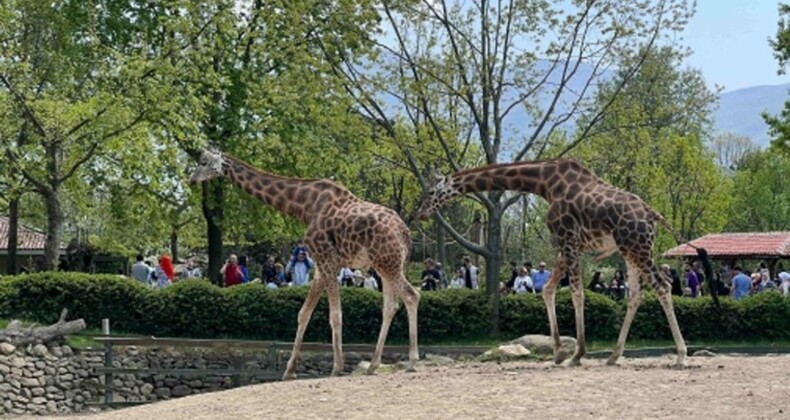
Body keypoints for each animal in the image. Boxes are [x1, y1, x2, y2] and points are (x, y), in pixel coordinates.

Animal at [189, 149, 420, 378]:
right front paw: (289, 371)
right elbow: (303, 313)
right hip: (385, 266)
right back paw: (373, 365)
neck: (304, 206)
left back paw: (412, 361)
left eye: (203, 162)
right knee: (390, 306)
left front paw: (337, 368)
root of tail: (405, 233)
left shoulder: (326, 259)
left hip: (388, 263)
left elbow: (335, 315)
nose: (192, 179)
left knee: (412, 295)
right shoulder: (322, 265)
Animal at [418, 159, 704, 366]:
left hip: (638, 248)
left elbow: (577, 292)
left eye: (431, 191)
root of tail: (652, 214)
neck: (544, 184)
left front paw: (577, 354)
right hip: (630, 251)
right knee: (636, 295)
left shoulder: (567, 240)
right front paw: (558, 353)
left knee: (662, 286)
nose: (420, 212)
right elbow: (548, 290)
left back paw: (681, 355)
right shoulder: (564, 245)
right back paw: (613, 356)